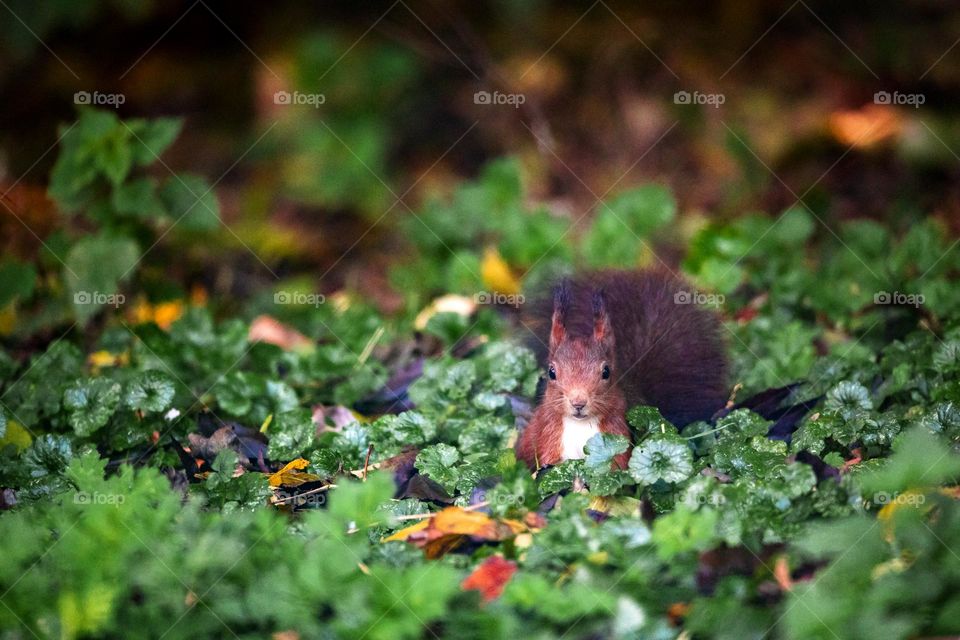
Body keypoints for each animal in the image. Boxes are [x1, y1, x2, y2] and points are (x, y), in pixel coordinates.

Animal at [516, 270, 728, 470]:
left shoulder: (618, 442)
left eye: (606, 372)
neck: (580, 426)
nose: (578, 403)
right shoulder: (549, 440)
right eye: (551, 372)